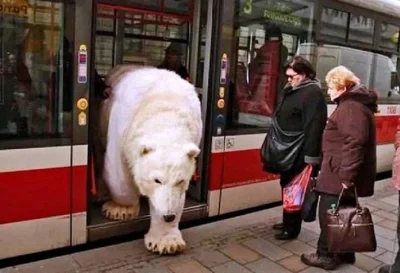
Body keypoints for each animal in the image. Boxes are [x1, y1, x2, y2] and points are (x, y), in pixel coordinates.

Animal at [97, 65, 203, 254]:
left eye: (180, 180)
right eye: (157, 180)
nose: (169, 216)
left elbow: (177, 198)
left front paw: (167, 242)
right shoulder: (123, 127)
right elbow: (119, 172)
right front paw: (119, 210)